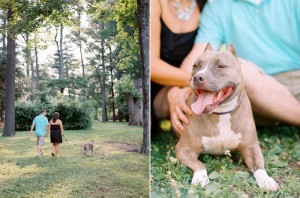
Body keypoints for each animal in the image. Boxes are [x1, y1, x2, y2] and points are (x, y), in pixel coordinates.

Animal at [176, 43, 278, 192]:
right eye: (196, 66)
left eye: (220, 66)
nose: (197, 77)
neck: (221, 113)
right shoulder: (183, 149)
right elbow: (199, 164)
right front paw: (200, 177)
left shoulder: (251, 147)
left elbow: (259, 166)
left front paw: (266, 180)